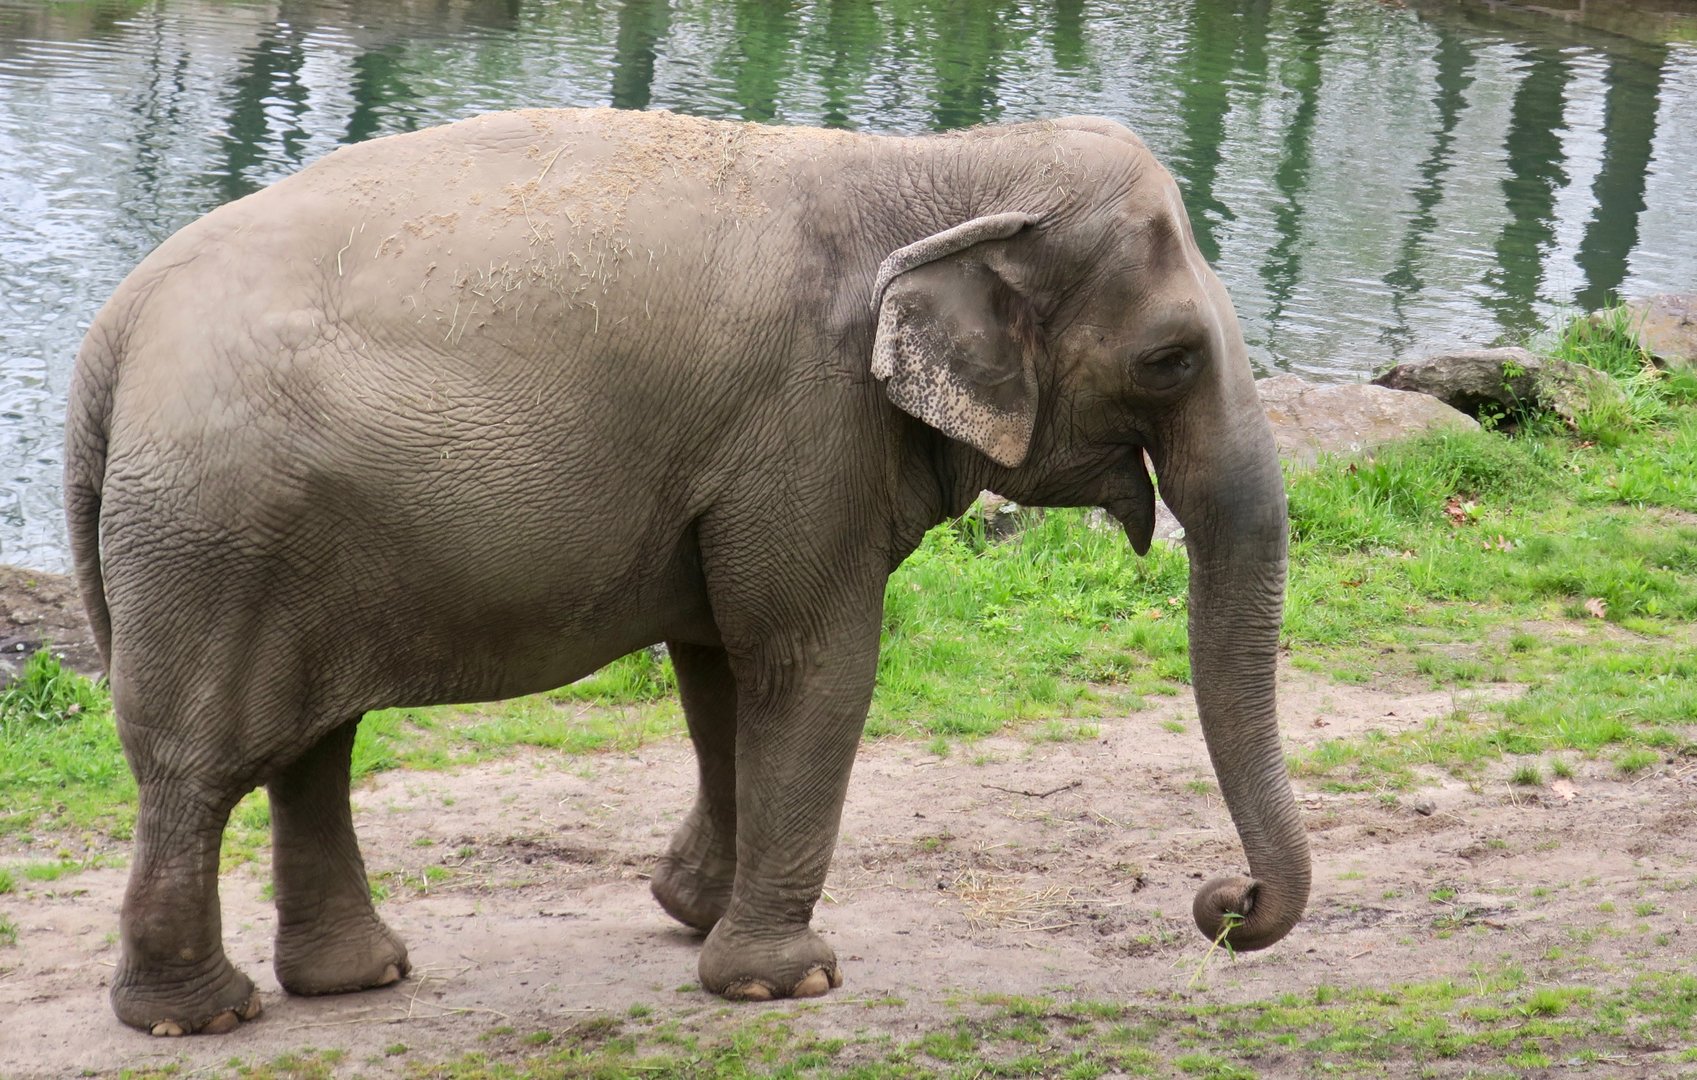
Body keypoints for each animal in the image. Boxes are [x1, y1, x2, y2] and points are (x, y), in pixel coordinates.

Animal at [63, 107, 1309, 1035]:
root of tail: (108, 343)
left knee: (308, 751)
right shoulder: (807, 426)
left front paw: (690, 913)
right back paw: (201, 1015)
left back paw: (356, 977)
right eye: (1169, 360)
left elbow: (720, 668)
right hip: (219, 539)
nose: (1221, 902)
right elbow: (811, 664)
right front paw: (785, 980)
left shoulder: (744, 464)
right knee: (199, 767)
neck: (936, 167)